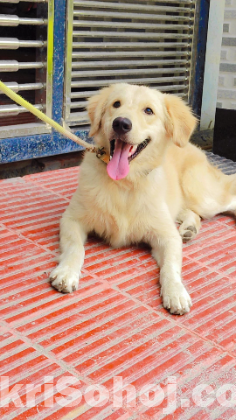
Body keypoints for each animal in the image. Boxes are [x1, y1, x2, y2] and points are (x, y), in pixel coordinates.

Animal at [49, 83, 236, 316]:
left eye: (148, 111)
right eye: (116, 104)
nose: (121, 123)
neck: (125, 183)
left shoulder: (167, 236)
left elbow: (170, 267)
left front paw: (175, 291)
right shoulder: (72, 219)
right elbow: (76, 248)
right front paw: (67, 272)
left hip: (203, 196)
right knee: (192, 213)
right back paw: (189, 229)